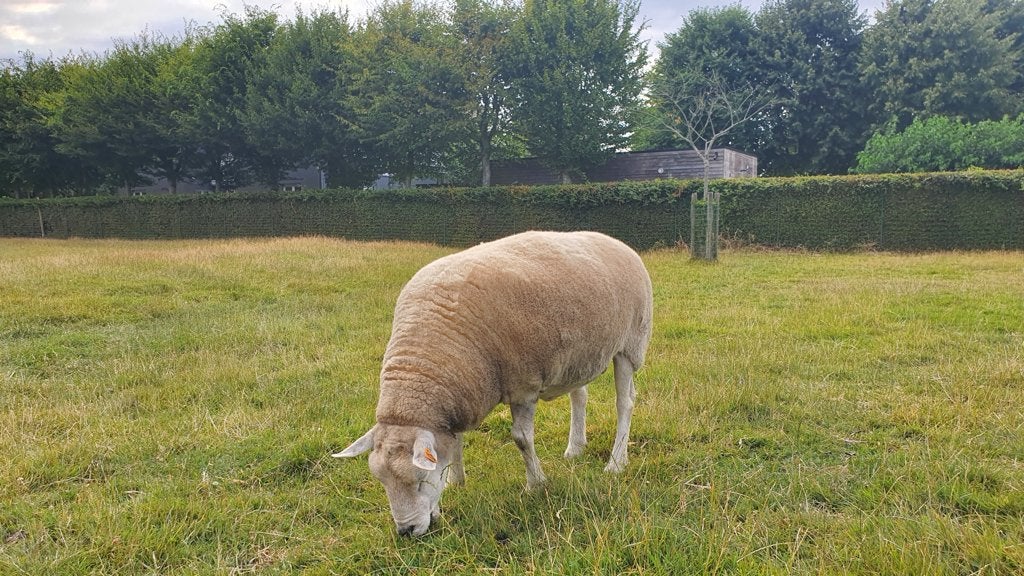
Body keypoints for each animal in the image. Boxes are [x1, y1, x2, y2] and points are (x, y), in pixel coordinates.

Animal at [333, 230, 653, 537]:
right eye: (382, 482)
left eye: (421, 480)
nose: (407, 532)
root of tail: (614, 240)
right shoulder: (459, 395)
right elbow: (455, 441)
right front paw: (457, 481)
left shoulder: (523, 384)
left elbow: (521, 439)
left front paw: (536, 484)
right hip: (579, 354)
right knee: (580, 396)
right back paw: (575, 448)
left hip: (631, 343)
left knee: (625, 403)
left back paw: (616, 462)